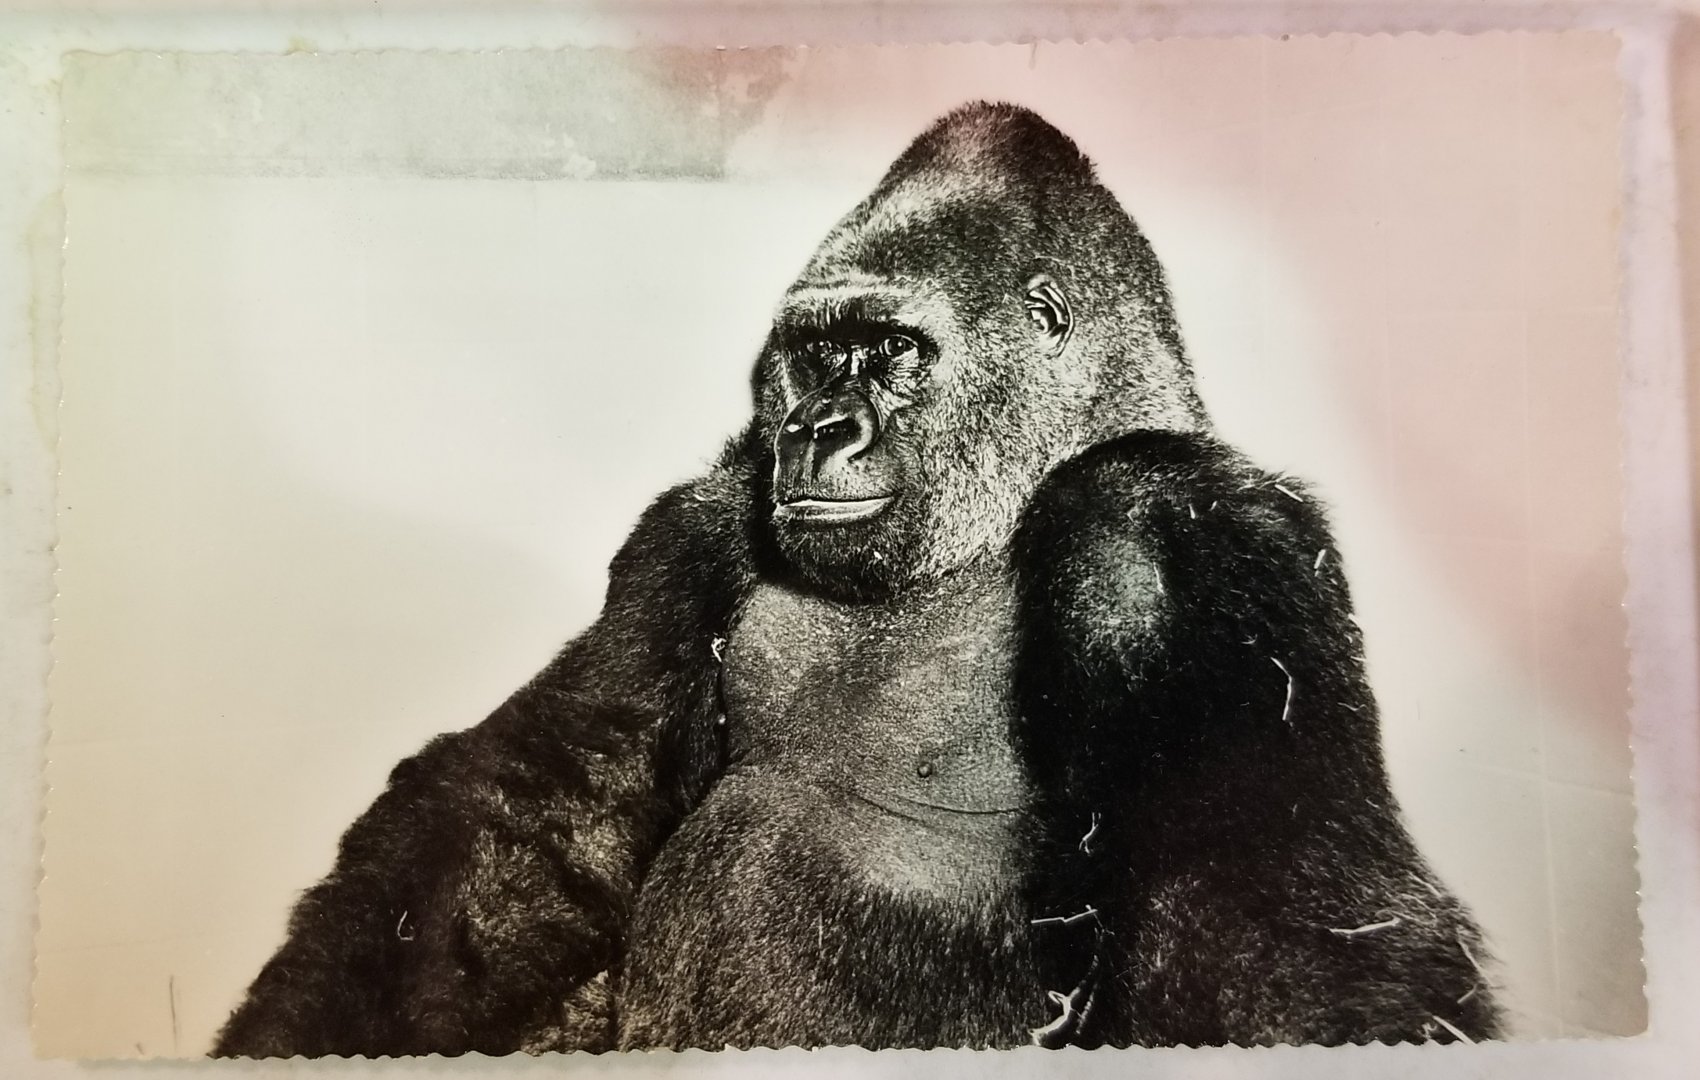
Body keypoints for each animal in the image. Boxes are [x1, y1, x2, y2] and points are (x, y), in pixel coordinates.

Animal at [213, 101, 1499, 1058]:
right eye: (811, 354)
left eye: (887, 351)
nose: (814, 431)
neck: (1001, 506)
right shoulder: (698, 522)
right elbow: (547, 801)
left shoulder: (1183, 531)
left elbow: (1273, 919)